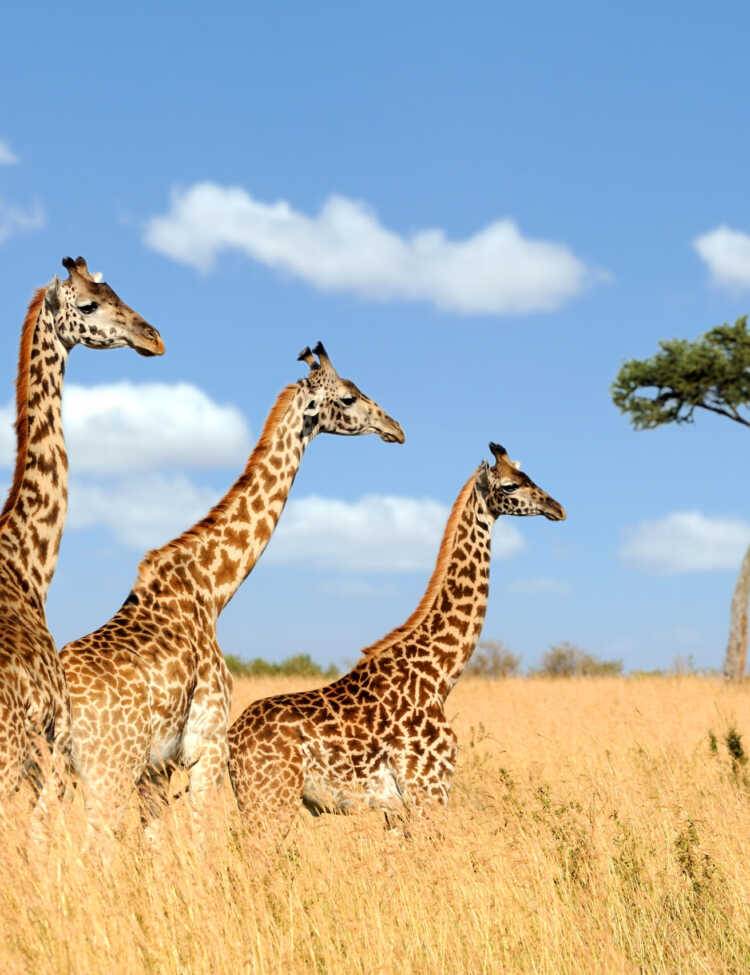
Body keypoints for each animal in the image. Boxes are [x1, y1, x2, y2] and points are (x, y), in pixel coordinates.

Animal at [61, 342, 408, 832]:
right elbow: (202, 833)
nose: (395, 428)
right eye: (347, 397)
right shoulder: (206, 744)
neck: (212, 588)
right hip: (108, 765)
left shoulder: (157, 768)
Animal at [226, 442, 568, 832]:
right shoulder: (428, 790)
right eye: (511, 485)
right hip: (271, 800)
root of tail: (230, 741)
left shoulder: (398, 810)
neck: (440, 675)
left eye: (529, 476)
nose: (556, 508)